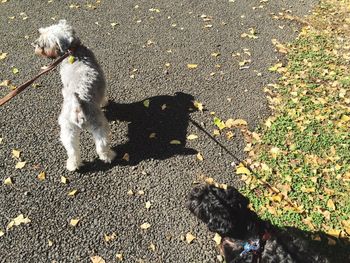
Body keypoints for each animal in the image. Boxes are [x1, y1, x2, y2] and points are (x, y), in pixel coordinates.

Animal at [32, 20, 115, 172]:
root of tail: (77, 107)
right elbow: (103, 98)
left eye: (46, 40)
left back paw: (73, 165)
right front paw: (106, 102)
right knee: (102, 146)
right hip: (99, 125)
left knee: (72, 150)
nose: (35, 44)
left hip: (67, 130)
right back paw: (109, 156)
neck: (74, 52)